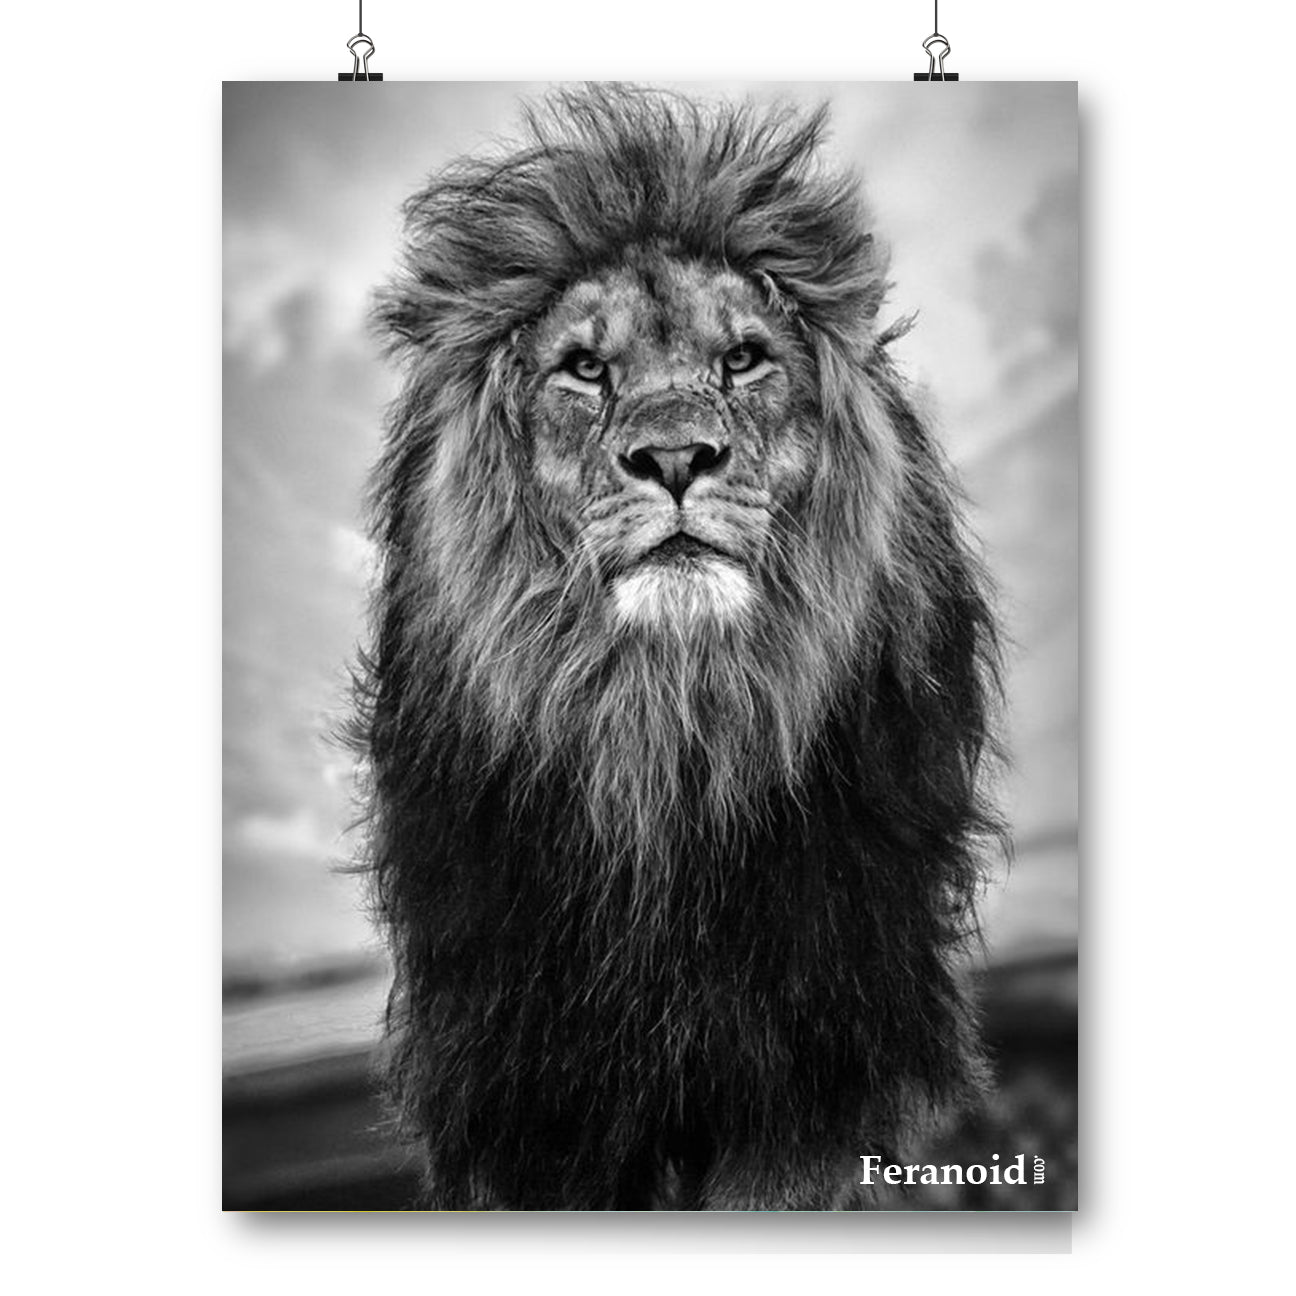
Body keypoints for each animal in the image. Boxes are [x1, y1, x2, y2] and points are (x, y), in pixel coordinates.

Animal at [354, 86, 1003, 1210]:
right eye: (584, 370)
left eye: (741, 358)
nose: (673, 457)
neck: (666, 737)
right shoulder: (524, 1085)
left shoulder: (821, 1068)